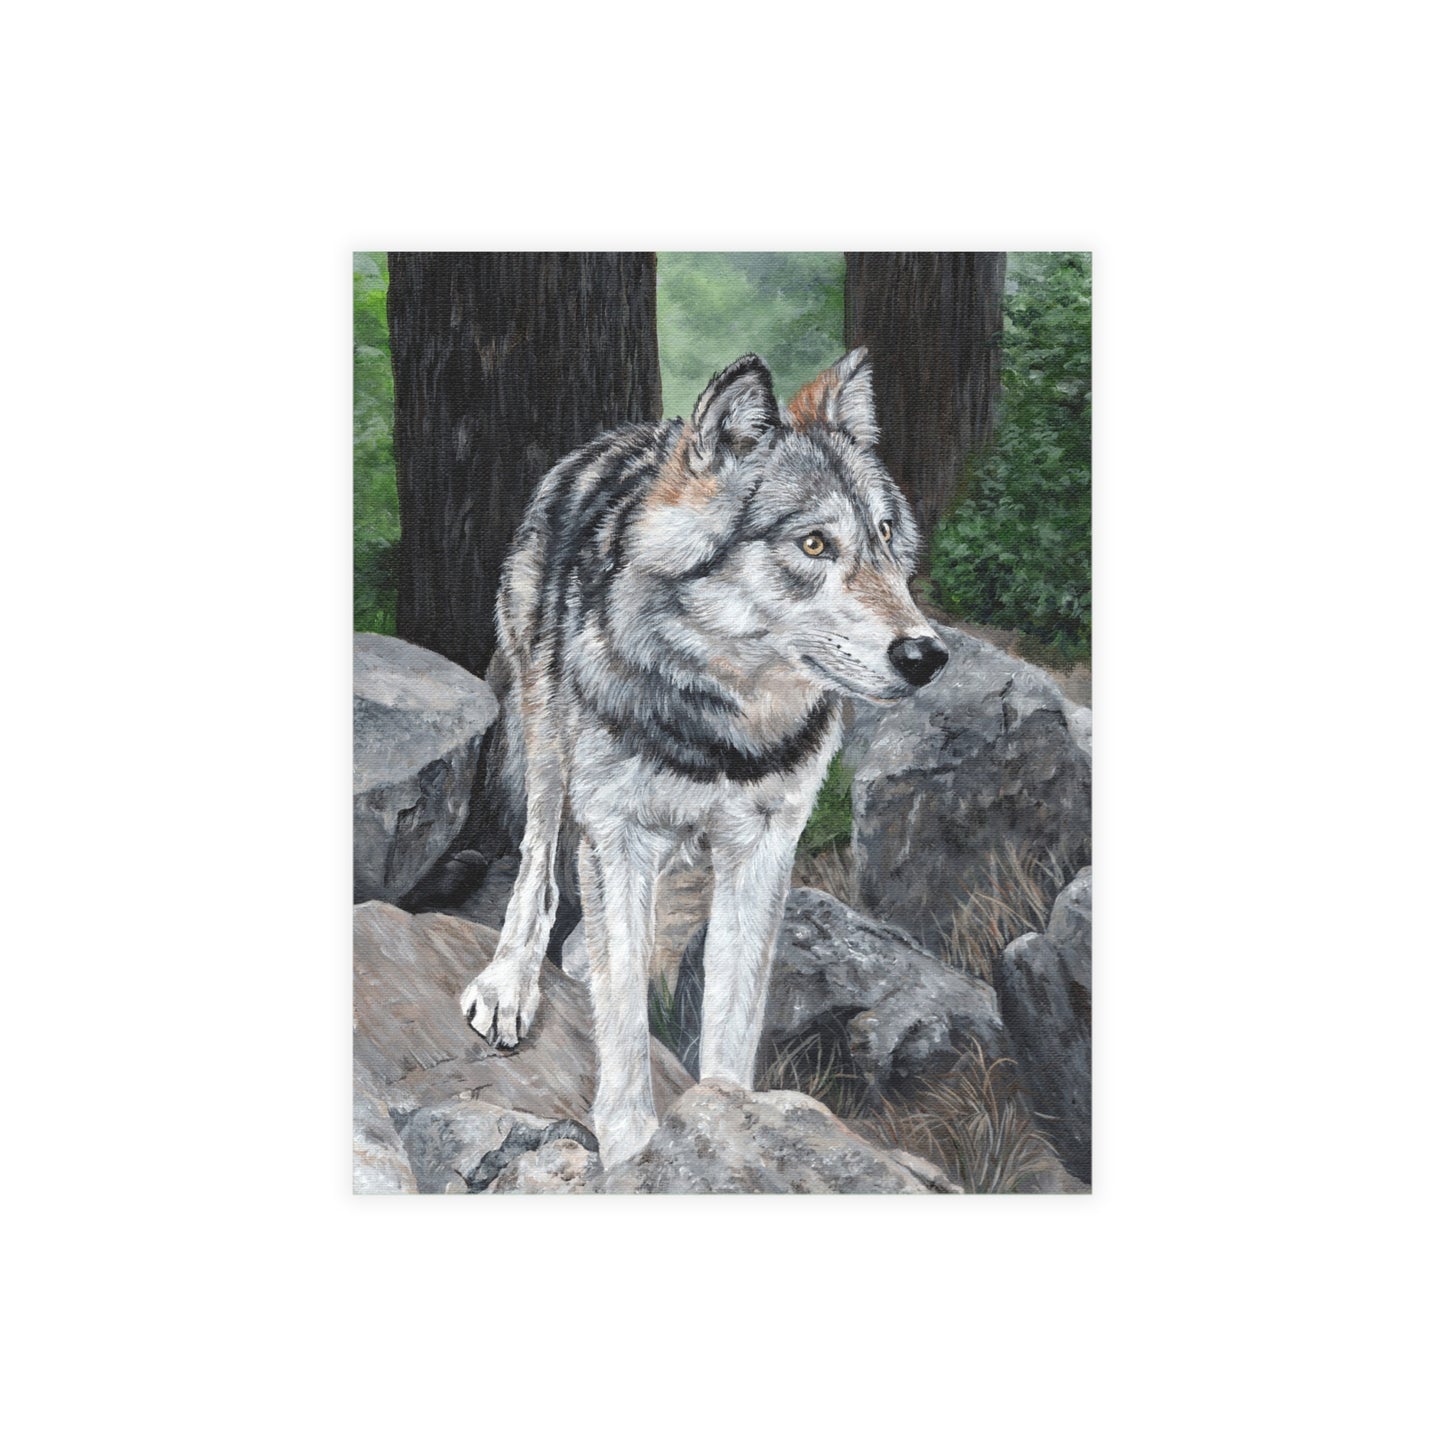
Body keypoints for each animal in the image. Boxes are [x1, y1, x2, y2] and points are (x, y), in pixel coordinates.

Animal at [460, 347, 949, 1167]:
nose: (928, 655)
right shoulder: (618, 831)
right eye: (814, 544)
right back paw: (511, 981)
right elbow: (625, 1016)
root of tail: (624, 436)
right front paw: (633, 1150)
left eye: (885, 535)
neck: (724, 729)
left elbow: (730, 1013)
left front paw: (731, 1125)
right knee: (538, 866)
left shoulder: (764, 846)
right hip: (547, 740)